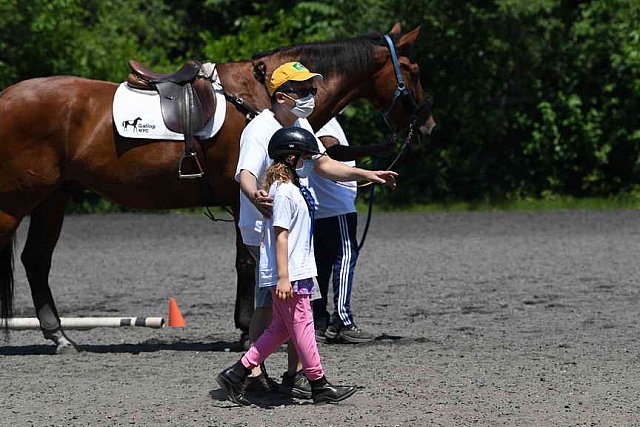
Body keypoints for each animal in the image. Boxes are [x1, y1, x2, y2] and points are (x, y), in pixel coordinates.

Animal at [0, 23, 436, 352]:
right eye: (413, 70)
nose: (428, 127)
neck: (260, 98)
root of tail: (6, 96)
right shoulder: (245, 196)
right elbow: (248, 259)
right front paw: (246, 329)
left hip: (53, 198)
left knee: (36, 260)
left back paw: (60, 336)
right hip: (17, 202)